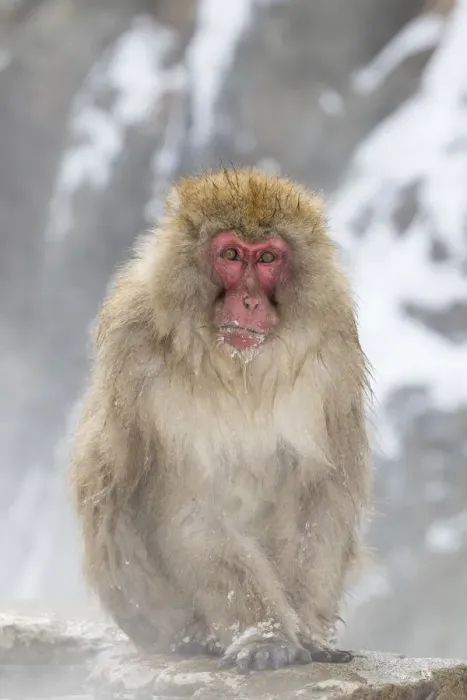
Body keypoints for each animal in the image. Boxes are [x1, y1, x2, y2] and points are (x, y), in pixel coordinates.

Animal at [70, 167, 372, 674]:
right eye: (231, 255)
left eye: (267, 257)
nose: (248, 300)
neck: (238, 369)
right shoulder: (136, 360)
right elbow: (188, 509)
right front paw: (264, 634)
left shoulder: (333, 359)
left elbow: (318, 496)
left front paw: (307, 633)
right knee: (106, 481)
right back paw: (193, 637)